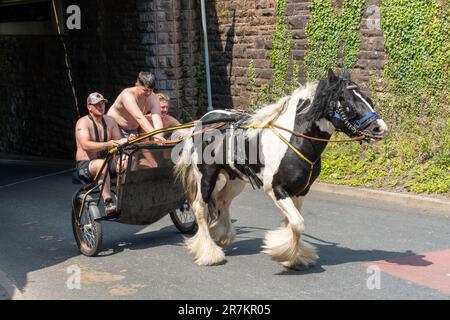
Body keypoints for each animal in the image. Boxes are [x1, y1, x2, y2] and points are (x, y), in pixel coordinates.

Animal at [175, 70, 386, 270]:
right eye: (347, 102)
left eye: (367, 99)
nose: (380, 128)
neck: (295, 139)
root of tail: (202, 121)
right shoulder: (276, 189)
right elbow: (297, 223)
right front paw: (284, 254)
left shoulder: (301, 191)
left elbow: (292, 223)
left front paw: (295, 257)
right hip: (206, 176)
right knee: (200, 208)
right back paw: (209, 253)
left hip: (236, 179)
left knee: (222, 201)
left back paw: (221, 235)